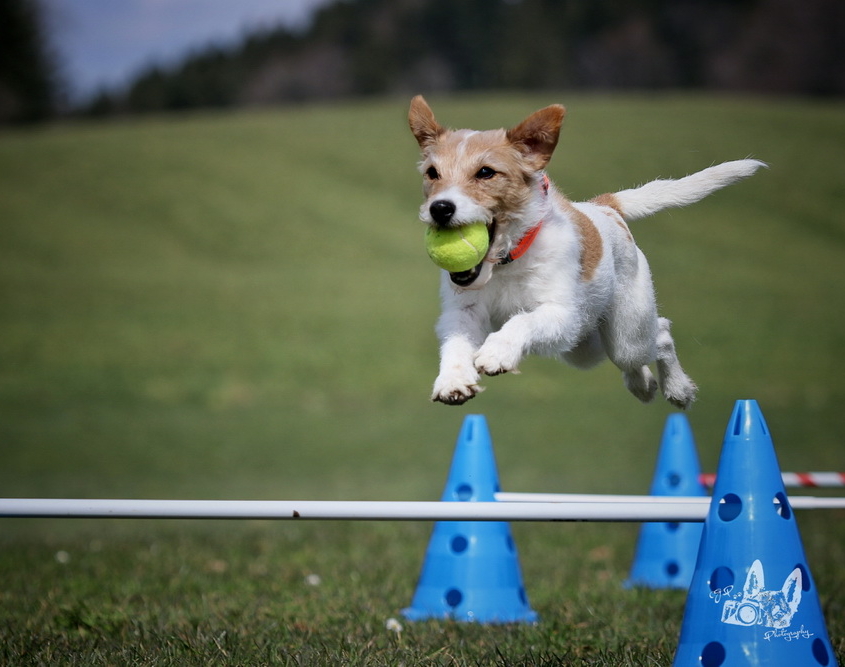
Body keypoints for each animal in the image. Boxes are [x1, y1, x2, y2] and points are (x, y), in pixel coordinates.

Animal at [408, 94, 764, 408]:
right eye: (432, 173)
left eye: (485, 172)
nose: (440, 208)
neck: (507, 262)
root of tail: (605, 207)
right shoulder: (462, 312)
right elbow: (456, 343)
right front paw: (453, 380)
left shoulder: (564, 314)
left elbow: (523, 321)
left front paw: (498, 352)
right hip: (584, 344)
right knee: (628, 359)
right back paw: (642, 383)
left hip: (624, 332)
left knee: (659, 334)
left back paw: (677, 389)